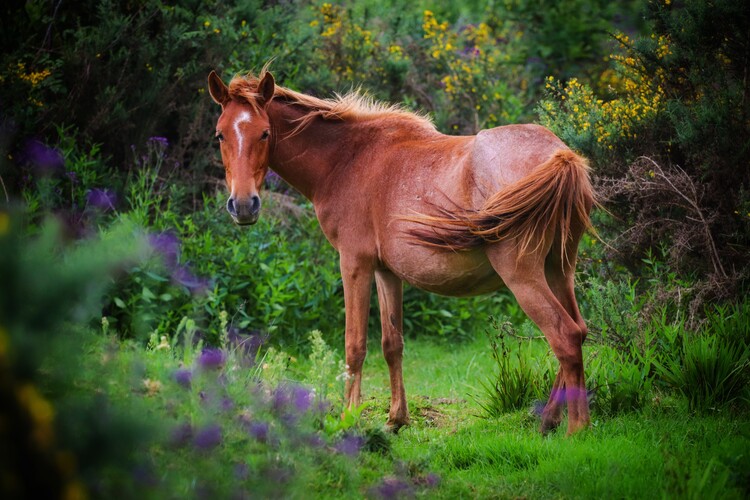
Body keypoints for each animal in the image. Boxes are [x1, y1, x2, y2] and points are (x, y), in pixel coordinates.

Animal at [207, 68, 595, 435]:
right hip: (558, 269)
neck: (348, 158)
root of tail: (561, 155)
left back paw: (577, 429)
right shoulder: (386, 272)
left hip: (522, 276)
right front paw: (396, 419)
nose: (243, 206)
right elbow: (392, 343)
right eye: (220, 134)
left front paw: (349, 418)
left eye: (264, 133)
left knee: (564, 336)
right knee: (578, 331)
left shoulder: (354, 265)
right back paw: (549, 419)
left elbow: (355, 345)